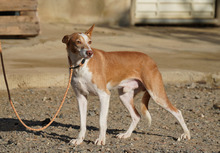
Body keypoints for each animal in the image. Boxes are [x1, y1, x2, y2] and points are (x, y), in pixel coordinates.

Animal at [62, 24, 191, 145]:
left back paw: (186, 134)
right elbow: (82, 123)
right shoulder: (81, 97)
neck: (81, 65)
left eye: (90, 42)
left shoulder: (104, 95)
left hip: (157, 94)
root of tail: (151, 60)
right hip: (124, 96)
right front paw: (79, 140)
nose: (90, 52)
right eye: (78, 41)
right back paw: (126, 134)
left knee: (177, 112)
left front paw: (101, 139)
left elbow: (102, 121)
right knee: (136, 116)